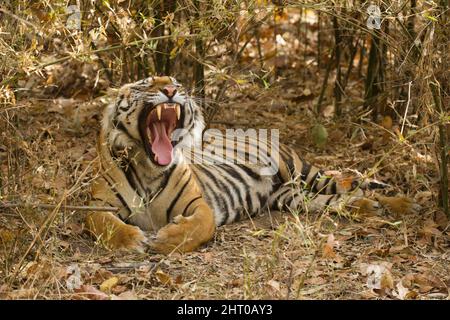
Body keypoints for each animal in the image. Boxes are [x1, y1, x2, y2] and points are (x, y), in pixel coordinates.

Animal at [85, 76, 422, 254]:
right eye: (146, 84)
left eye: (176, 82)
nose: (171, 90)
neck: (148, 166)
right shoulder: (97, 207)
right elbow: (105, 224)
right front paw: (133, 240)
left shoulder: (199, 205)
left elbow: (197, 227)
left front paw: (166, 239)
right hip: (293, 198)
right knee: (338, 199)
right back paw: (369, 207)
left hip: (305, 172)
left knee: (349, 186)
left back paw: (403, 204)